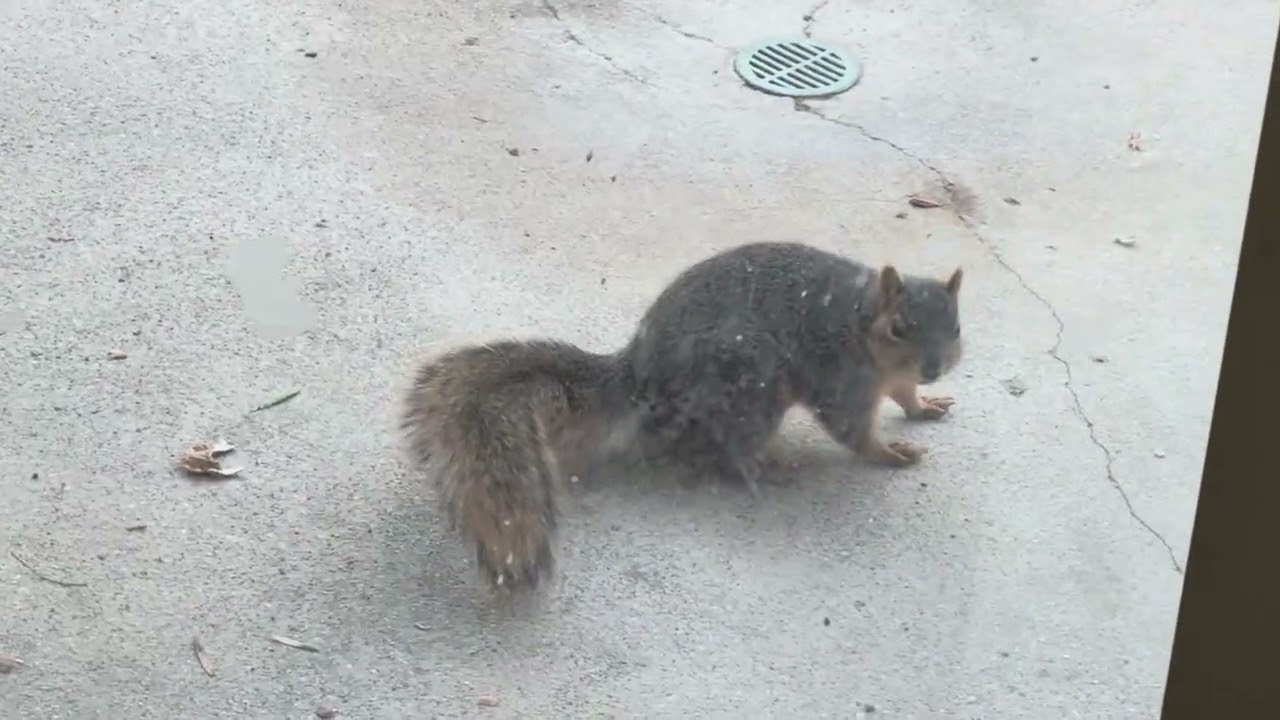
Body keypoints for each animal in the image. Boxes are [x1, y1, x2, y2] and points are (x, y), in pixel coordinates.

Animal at [400, 241, 964, 591]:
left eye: (957, 326)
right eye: (899, 327)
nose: (934, 367)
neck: (858, 318)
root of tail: (641, 375)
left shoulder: (890, 379)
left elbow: (904, 394)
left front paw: (924, 406)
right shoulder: (840, 378)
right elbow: (852, 429)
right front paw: (889, 452)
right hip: (748, 383)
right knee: (729, 448)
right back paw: (770, 466)